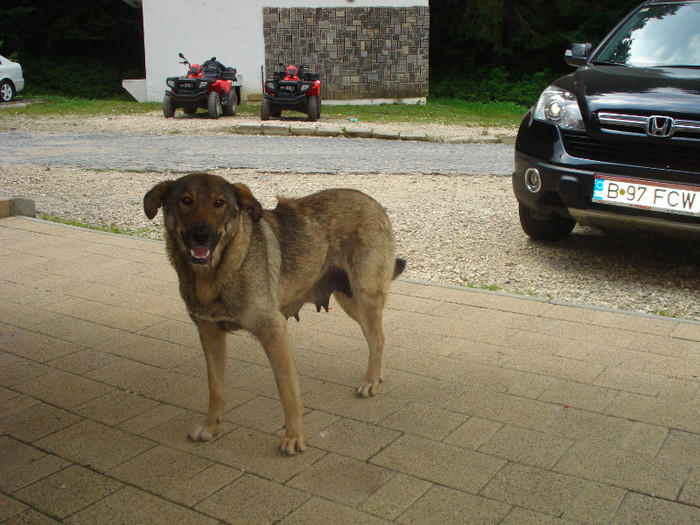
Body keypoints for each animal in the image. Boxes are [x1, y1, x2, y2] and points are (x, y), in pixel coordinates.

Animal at [144, 173, 404, 454]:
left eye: (219, 202)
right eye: (186, 200)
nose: (201, 236)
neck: (220, 270)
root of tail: (373, 203)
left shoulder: (274, 331)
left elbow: (286, 390)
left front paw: (294, 437)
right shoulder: (209, 333)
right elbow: (215, 387)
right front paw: (210, 426)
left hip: (363, 296)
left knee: (377, 338)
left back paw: (370, 382)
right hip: (349, 299)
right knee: (375, 337)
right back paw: (375, 375)